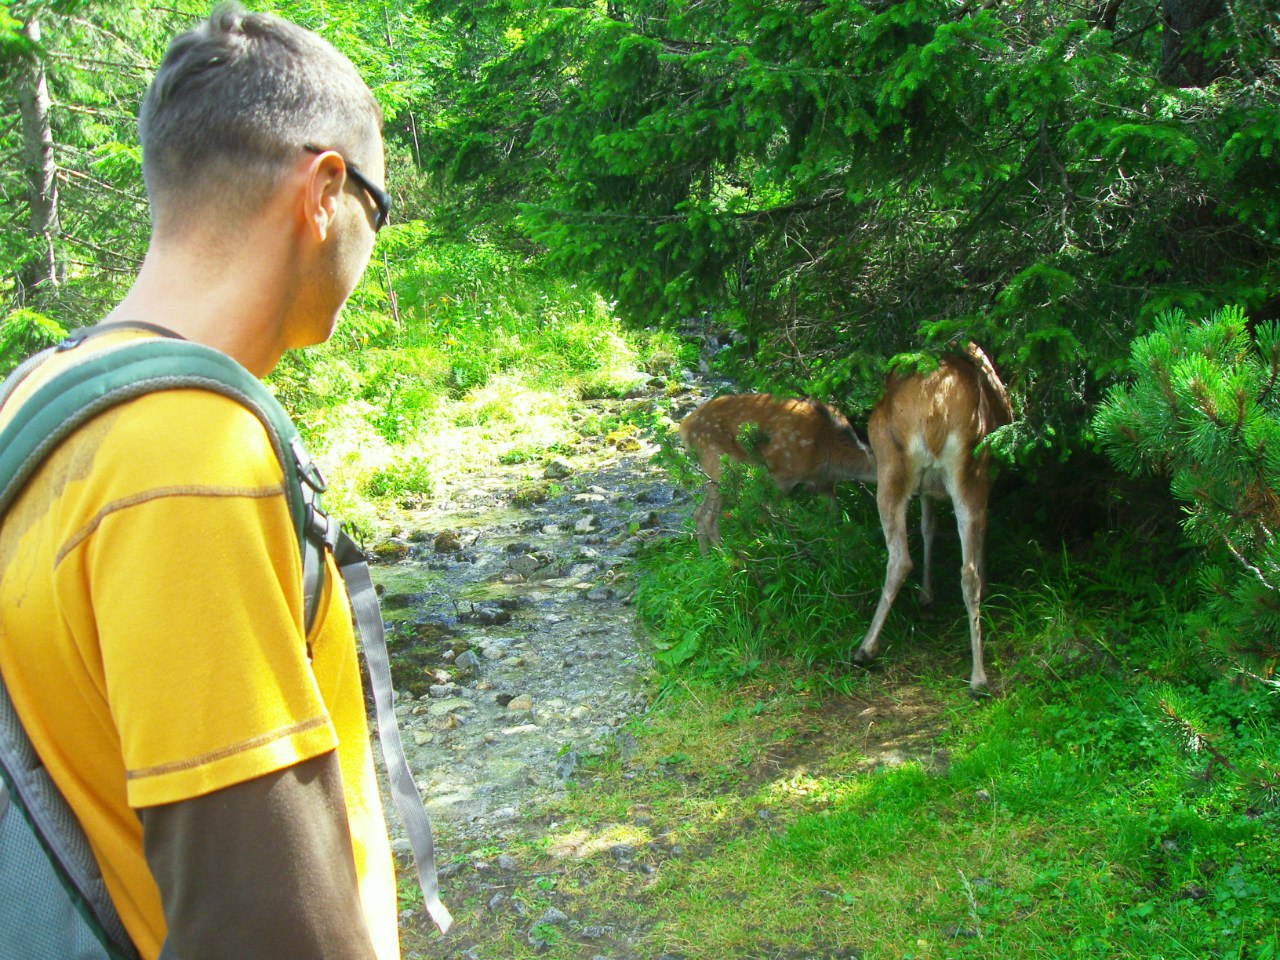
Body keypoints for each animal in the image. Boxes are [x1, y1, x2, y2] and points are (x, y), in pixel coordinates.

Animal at [680, 343, 1008, 696]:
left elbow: (833, 525)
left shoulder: (825, 486)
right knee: (704, 516)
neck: (830, 454)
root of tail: (685, 427)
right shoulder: (783, 478)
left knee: (706, 516)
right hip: (719, 464)